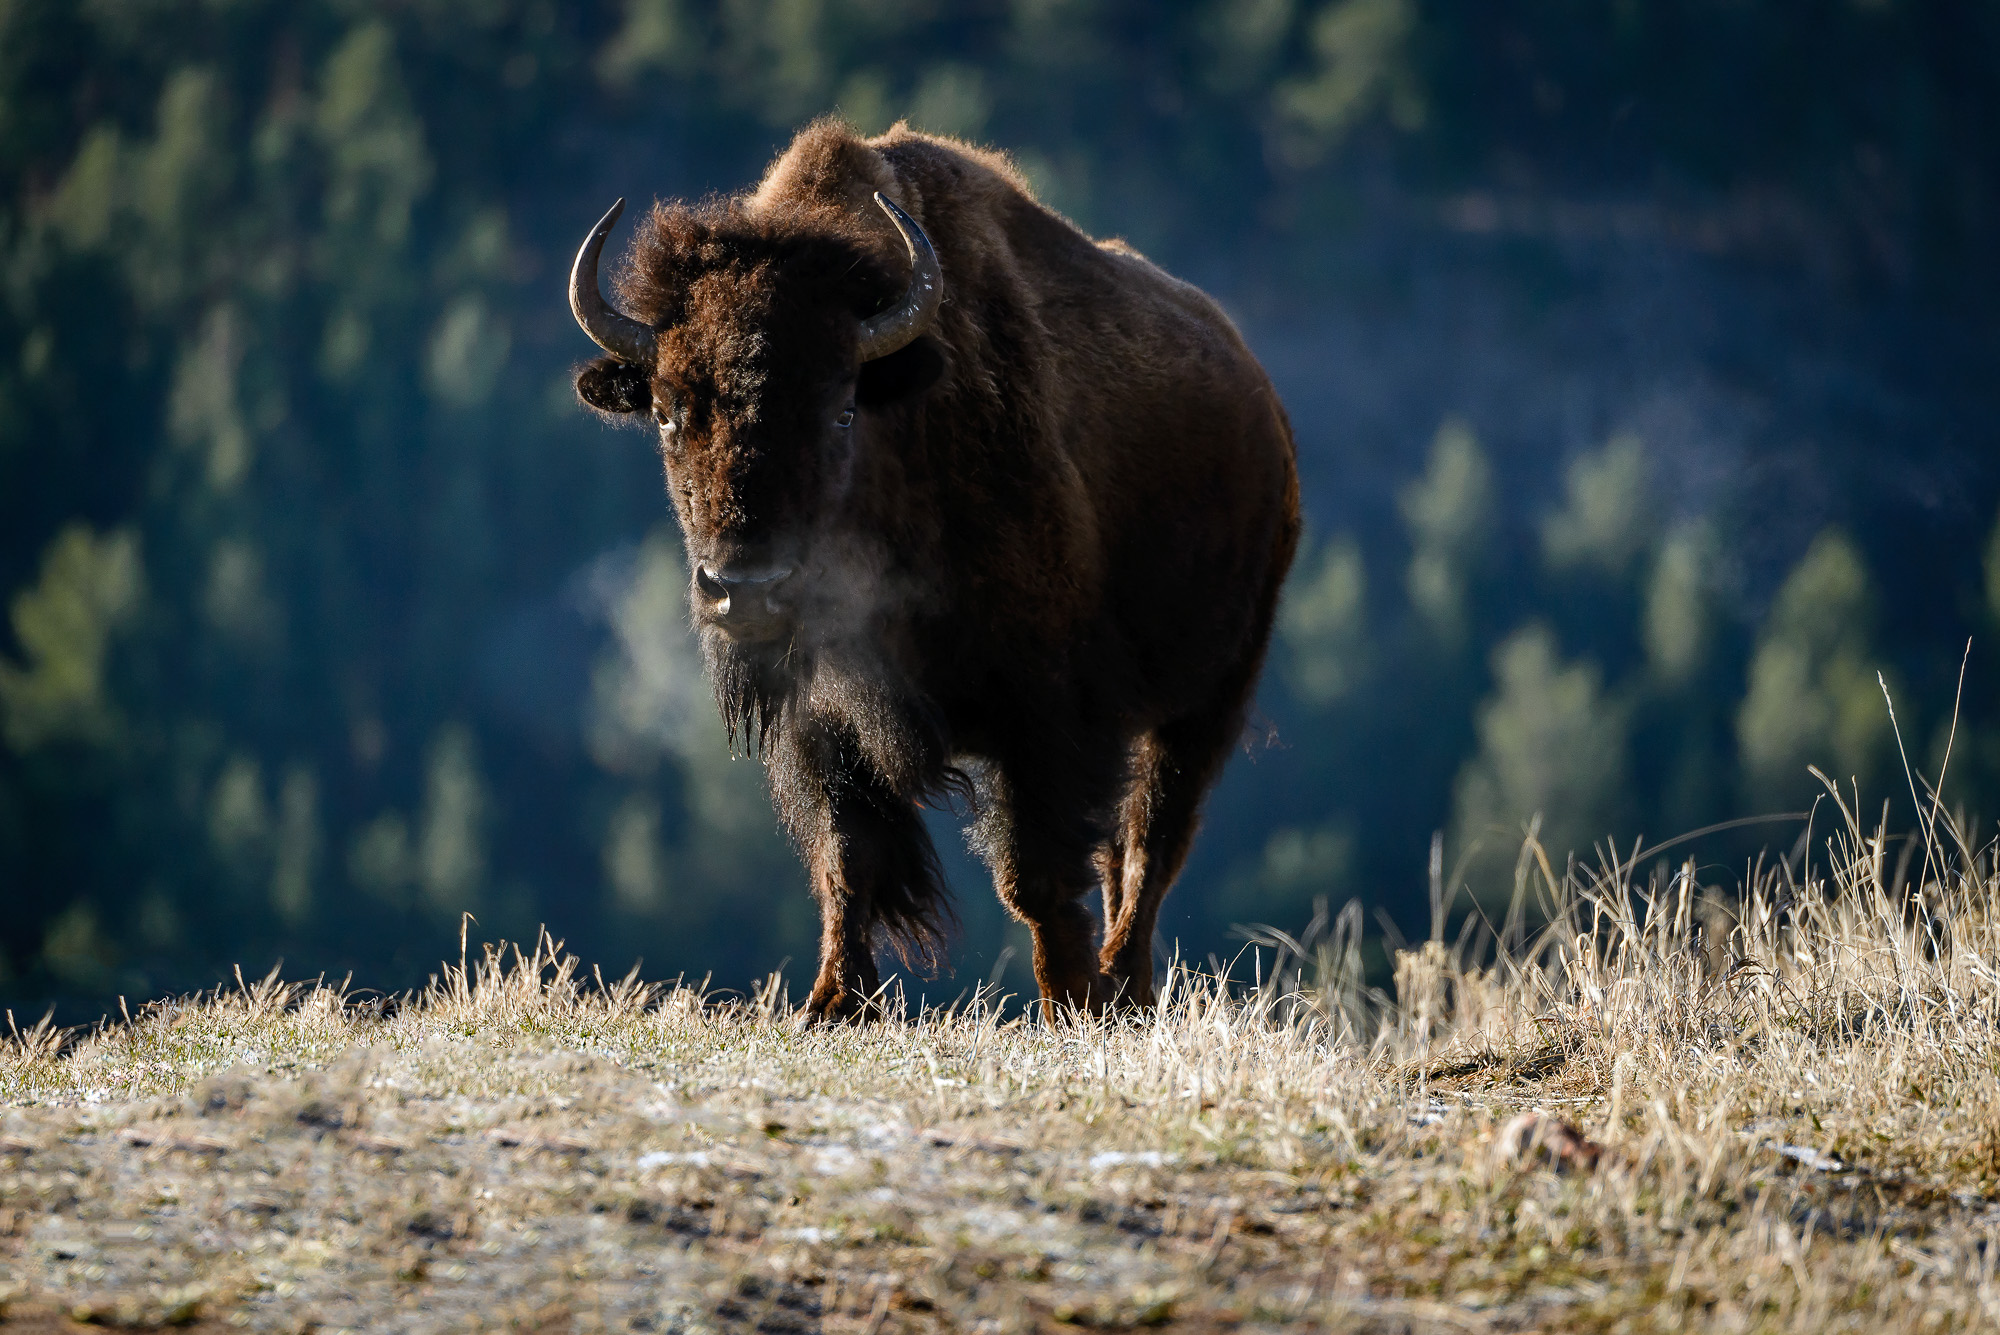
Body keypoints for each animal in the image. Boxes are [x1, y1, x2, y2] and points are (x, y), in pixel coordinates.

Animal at [572, 122, 1304, 1023]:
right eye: (670, 411)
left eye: (841, 408)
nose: (744, 589)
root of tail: (1261, 403)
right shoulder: (823, 723)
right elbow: (847, 854)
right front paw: (834, 1002)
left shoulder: (1046, 714)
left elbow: (1034, 872)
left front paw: (1070, 1000)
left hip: (1207, 697)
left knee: (1151, 844)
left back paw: (1123, 987)